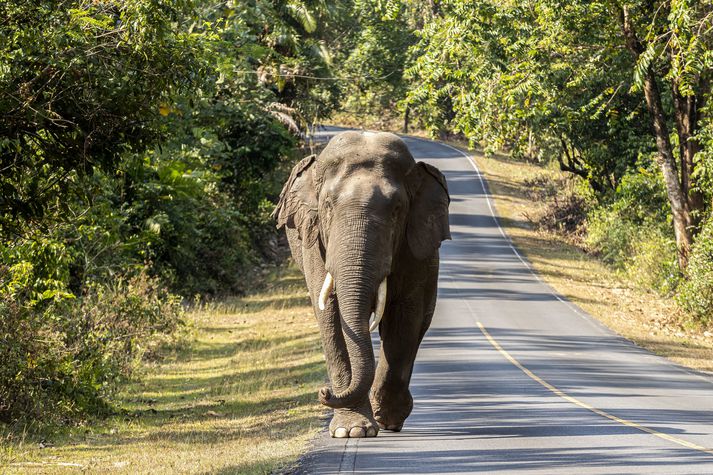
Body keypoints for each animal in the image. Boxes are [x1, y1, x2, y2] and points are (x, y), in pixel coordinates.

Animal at [274, 130, 450, 438]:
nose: (324, 392)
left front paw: (385, 420)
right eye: (327, 207)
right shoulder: (315, 243)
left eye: (396, 210)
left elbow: (405, 316)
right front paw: (352, 430)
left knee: (420, 321)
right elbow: (331, 315)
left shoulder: (414, 248)